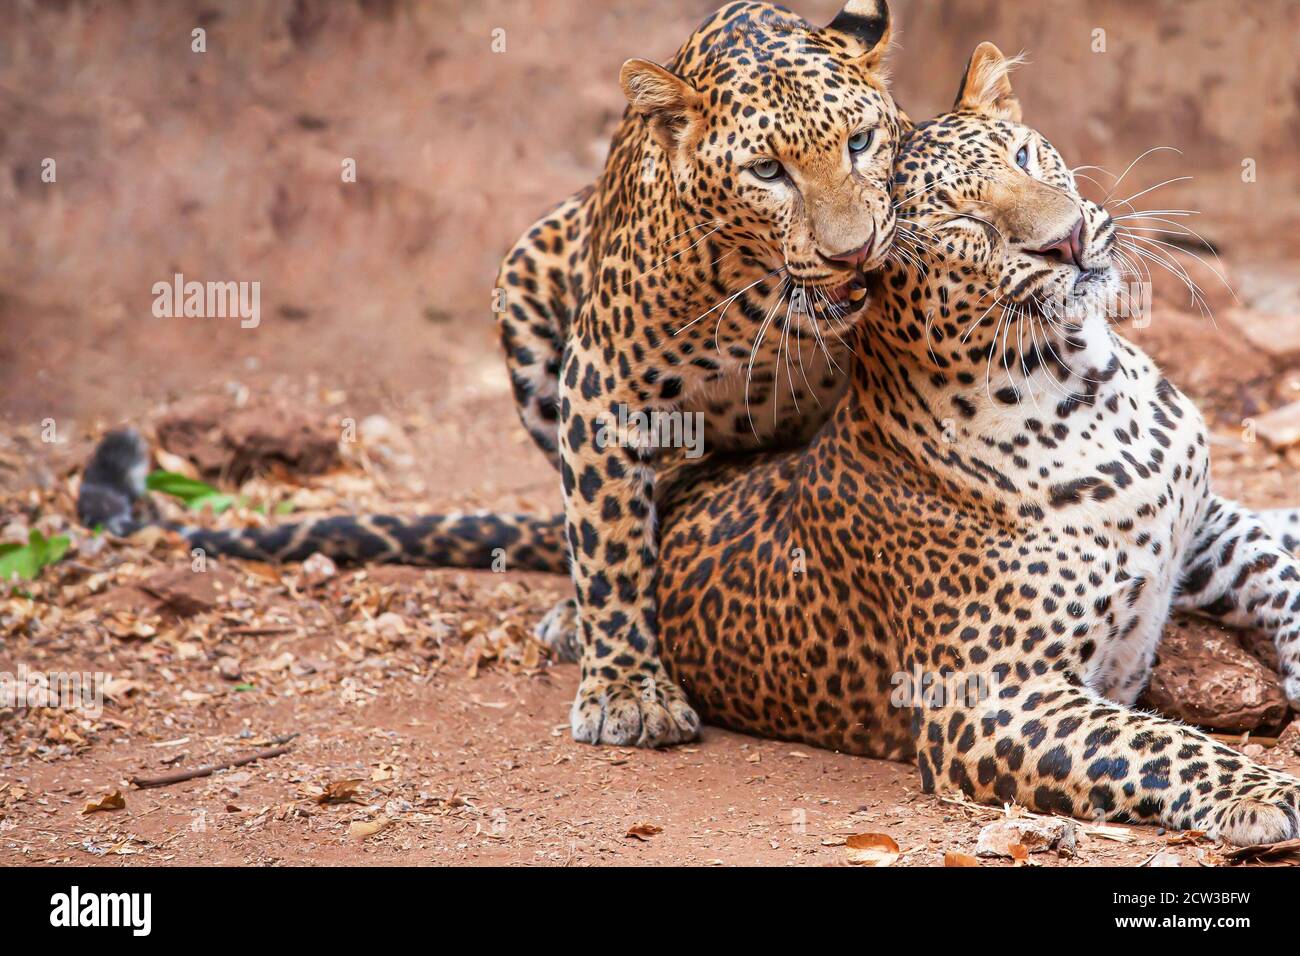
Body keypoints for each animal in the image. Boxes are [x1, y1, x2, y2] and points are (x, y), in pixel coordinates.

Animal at [76, 0, 904, 754]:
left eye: (861, 142)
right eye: (768, 171)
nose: (854, 251)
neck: (765, 301)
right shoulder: (601, 386)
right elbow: (608, 543)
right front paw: (628, 691)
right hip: (528, 273)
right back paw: (577, 618)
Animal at [647, 42, 1300, 842]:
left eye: (1023, 154)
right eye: (961, 220)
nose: (1068, 239)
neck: (1089, 386)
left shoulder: (1199, 522)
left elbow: (1275, 564)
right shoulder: (988, 701)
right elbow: (1159, 742)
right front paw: (1266, 792)